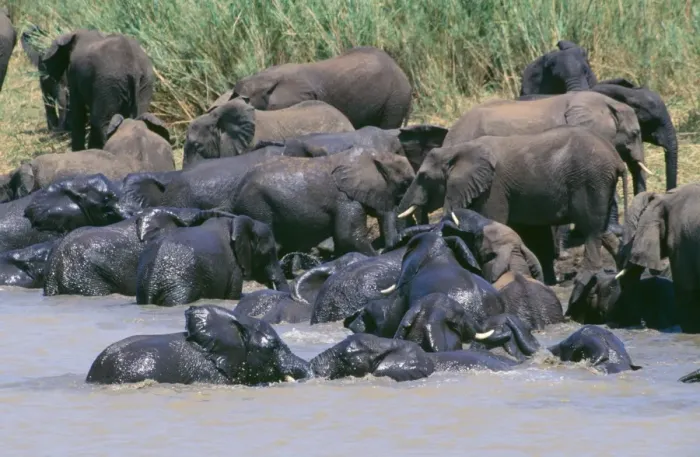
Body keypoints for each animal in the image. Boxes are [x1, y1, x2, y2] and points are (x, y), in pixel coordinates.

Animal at [136, 213, 288, 306]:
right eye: (268, 253)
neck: (235, 222)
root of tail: (152, 283)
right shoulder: (234, 267)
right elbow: (233, 294)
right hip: (178, 284)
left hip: (143, 286)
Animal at [231, 148, 416, 256]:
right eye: (405, 183)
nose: (389, 247)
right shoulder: (344, 198)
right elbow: (347, 235)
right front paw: (376, 255)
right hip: (256, 204)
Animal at [398, 126, 628, 284]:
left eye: (424, 177)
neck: (458, 150)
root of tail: (618, 159)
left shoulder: (494, 187)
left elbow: (494, 220)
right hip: (600, 183)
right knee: (603, 230)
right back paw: (619, 268)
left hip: (590, 180)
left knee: (591, 228)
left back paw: (587, 276)